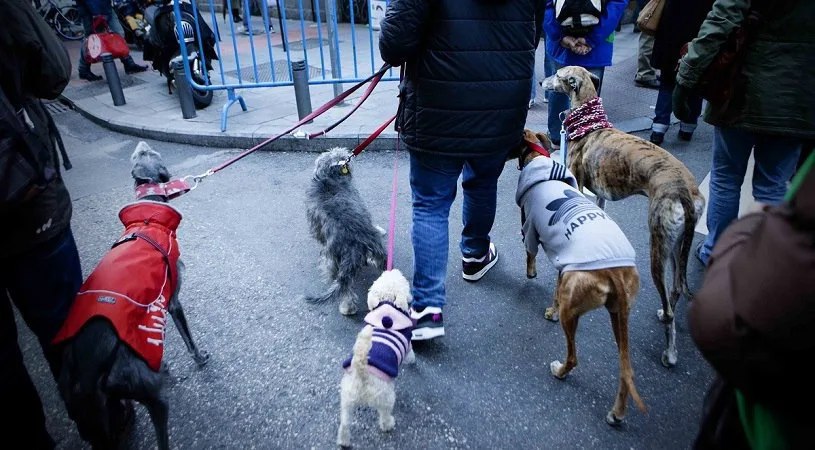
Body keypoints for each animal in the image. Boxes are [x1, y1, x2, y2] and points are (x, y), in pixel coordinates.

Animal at [53, 142, 209, 450]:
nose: (142, 143)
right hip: (150, 394)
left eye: (140, 155)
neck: (148, 218)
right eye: (148, 154)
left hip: (87, 408)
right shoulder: (172, 300)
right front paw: (199, 358)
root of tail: (86, 369)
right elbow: (188, 338)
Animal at [304, 147, 387, 316]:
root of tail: (355, 239)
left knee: (344, 287)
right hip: (377, 247)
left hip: (332, 256)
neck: (328, 179)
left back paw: (347, 307)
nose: (348, 154)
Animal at [337, 269, 415, 447]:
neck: (387, 305)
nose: (394, 269)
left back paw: (344, 441)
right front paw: (413, 362)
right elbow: (411, 355)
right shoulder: (408, 344)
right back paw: (389, 424)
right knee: (384, 415)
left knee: (345, 424)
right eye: (404, 282)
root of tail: (362, 372)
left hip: (347, 399)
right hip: (386, 397)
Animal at [509, 131, 646, 425]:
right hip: (619, 316)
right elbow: (555, 287)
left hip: (573, 313)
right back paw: (617, 413)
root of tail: (614, 271)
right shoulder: (564, 265)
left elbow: (530, 254)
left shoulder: (530, 229)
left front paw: (532, 275)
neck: (538, 158)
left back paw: (560, 371)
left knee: (573, 357)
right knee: (625, 371)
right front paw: (550, 307)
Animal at [542, 66, 706, 368]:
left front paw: (554, 309)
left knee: (669, 300)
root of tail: (683, 191)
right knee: (677, 288)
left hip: (658, 245)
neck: (590, 123)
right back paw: (666, 317)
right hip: (677, 245)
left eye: (558, 74)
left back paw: (670, 353)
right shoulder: (599, 197)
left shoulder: (577, 187)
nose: (540, 82)